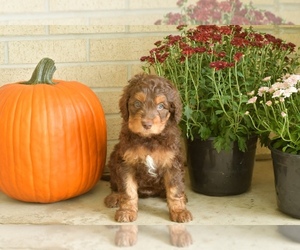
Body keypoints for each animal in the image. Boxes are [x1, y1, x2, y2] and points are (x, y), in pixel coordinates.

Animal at [104, 73, 193, 223]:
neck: (149, 139)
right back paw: (114, 196)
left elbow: (175, 189)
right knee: (115, 183)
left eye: (161, 106)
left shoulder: (172, 163)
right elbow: (127, 190)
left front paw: (179, 211)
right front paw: (126, 211)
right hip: (114, 157)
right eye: (137, 103)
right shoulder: (126, 163)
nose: (146, 124)